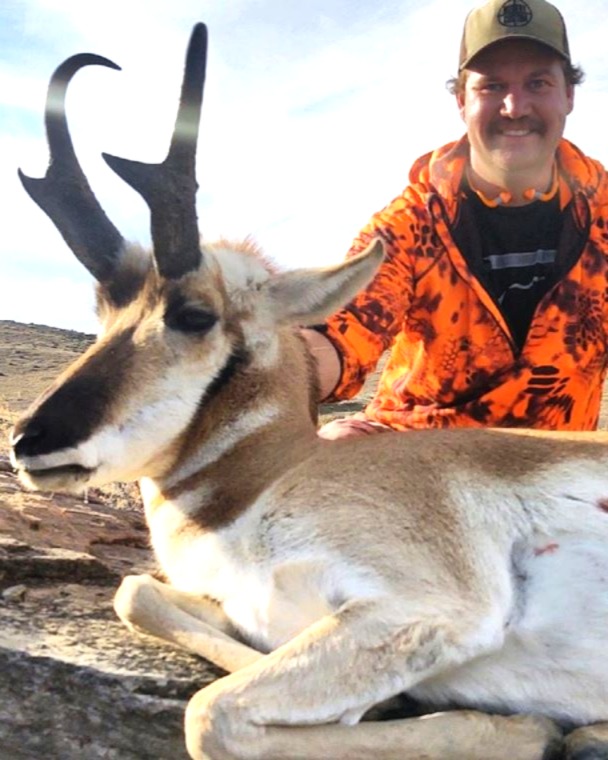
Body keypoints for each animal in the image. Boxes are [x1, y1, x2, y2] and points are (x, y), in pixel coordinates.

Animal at [9, 22, 608, 760]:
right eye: (103, 309)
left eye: (193, 315)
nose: (28, 439)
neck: (271, 476)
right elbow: (134, 592)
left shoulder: (434, 606)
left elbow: (210, 712)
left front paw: (520, 727)